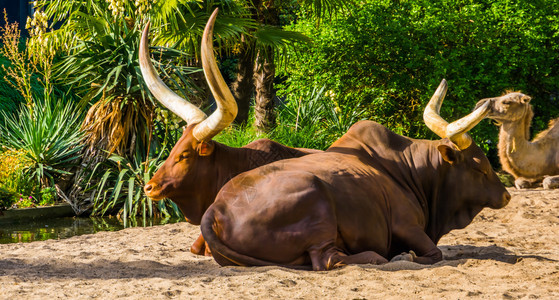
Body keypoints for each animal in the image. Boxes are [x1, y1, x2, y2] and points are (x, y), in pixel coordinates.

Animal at [201, 79, 512, 270]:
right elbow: (434, 254)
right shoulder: (406, 225)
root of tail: (216, 208)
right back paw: (375, 257)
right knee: (327, 259)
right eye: (480, 166)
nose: (507, 195)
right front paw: (404, 254)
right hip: (317, 202)